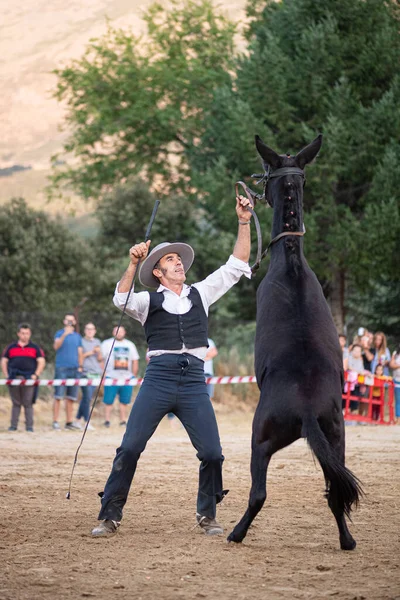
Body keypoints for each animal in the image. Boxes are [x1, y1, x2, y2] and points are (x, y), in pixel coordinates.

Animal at [228, 134, 362, 552]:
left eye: (266, 170)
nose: (255, 184)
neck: (292, 264)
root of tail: (305, 409)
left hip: (260, 438)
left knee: (258, 493)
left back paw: (236, 533)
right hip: (336, 438)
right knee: (335, 494)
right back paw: (347, 540)